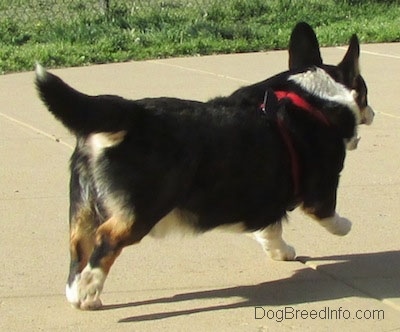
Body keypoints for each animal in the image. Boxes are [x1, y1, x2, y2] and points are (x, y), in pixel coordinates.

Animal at [35, 22, 376, 310]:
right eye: (365, 91)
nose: (372, 113)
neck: (313, 96)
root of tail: (131, 113)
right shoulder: (321, 190)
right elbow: (329, 216)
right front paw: (345, 227)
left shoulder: (266, 198)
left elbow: (271, 230)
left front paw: (282, 252)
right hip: (140, 213)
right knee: (106, 241)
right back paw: (87, 294)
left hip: (82, 207)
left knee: (78, 246)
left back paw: (76, 290)